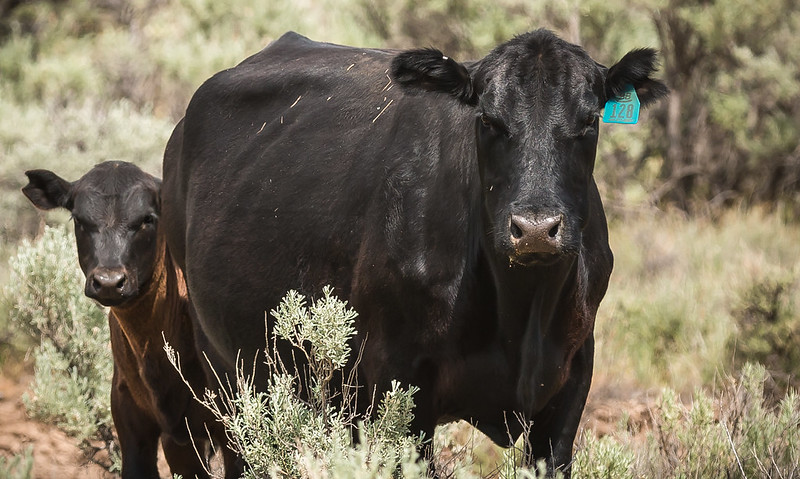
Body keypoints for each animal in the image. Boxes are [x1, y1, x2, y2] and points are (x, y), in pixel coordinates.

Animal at [161, 31, 664, 476]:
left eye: (590, 121)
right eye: (488, 120)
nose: (536, 230)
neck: (521, 311)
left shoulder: (570, 382)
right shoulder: (398, 382)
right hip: (227, 373)